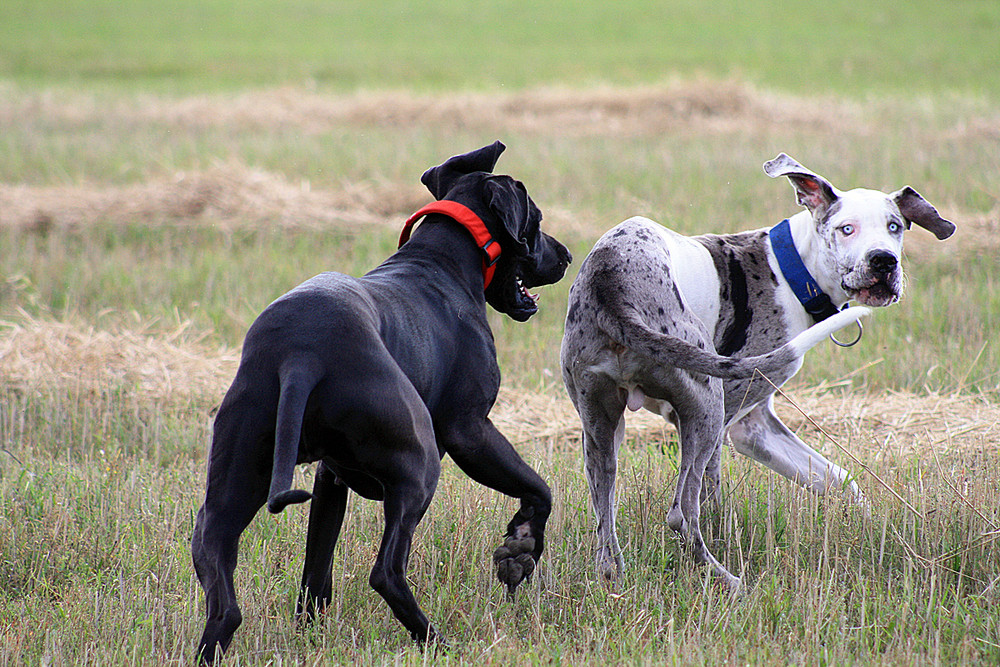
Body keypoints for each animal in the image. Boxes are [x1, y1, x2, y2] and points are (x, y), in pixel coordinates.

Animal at [191, 142, 576, 664]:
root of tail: (300, 355)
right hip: (421, 465)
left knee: (224, 600)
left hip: (228, 489)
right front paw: (519, 552)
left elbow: (316, 570)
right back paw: (435, 639)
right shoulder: (471, 432)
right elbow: (540, 489)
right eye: (536, 219)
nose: (566, 255)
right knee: (387, 572)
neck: (441, 260)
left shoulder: (329, 479)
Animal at [560, 153, 956, 588]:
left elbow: (841, 481)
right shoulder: (729, 420)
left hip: (600, 431)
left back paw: (614, 579)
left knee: (605, 520)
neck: (793, 271)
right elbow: (713, 498)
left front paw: (868, 526)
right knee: (682, 513)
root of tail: (612, 286)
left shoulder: (756, 428)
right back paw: (728, 581)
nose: (883, 260)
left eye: (894, 226)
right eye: (846, 229)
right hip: (706, 408)